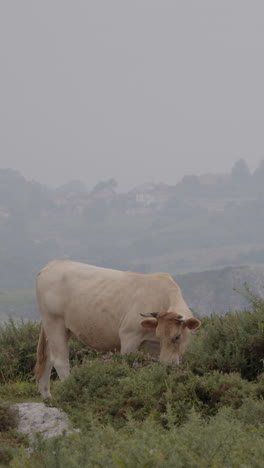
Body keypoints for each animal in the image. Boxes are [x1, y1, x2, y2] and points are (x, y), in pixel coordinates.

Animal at [35, 260, 200, 398]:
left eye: (177, 336)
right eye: (159, 336)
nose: (168, 364)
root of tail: (52, 264)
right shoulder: (129, 336)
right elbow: (128, 365)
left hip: (62, 327)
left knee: (47, 357)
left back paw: (47, 396)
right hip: (54, 321)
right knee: (60, 360)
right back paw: (71, 389)